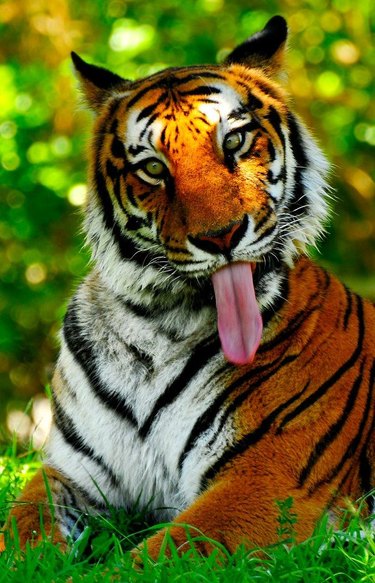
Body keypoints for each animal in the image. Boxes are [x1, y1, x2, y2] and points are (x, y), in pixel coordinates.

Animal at [2, 13, 374, 560]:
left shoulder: (265, 481)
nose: (221, 236)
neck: (156, 324)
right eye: (154, 168)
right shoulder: (71, 472)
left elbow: (151, 559)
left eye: (234, 142)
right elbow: (21, 531)